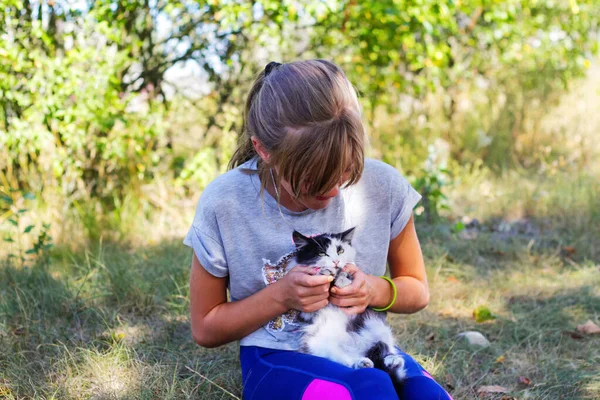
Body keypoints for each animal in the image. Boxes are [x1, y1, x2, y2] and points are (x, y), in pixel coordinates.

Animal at [290, 230, 406, 386]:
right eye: (321, 253)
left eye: (340, 250)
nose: (335, 262)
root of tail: (358, 349)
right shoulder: (307, 313)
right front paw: (325, 272)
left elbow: (346, 276)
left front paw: (343, 279)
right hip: (319, 344)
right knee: (347, 361)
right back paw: (362, 363)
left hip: (377, 326)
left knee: (389, 364)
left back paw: (393, 361)